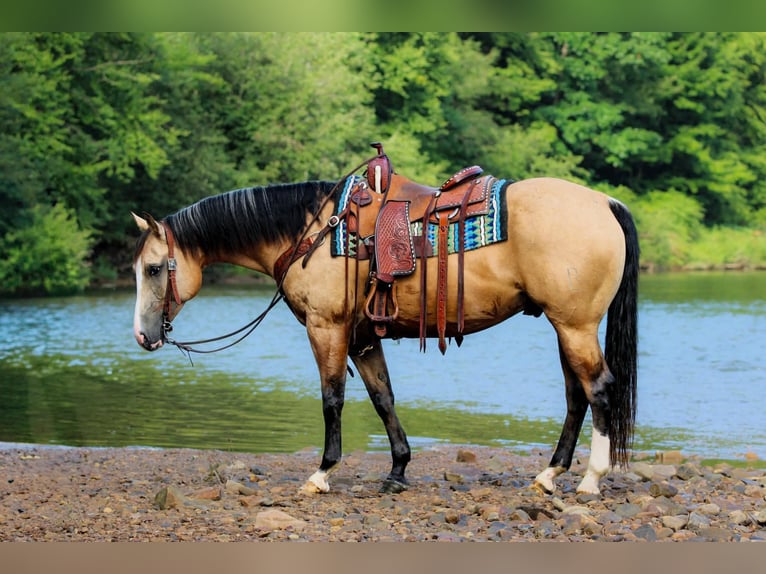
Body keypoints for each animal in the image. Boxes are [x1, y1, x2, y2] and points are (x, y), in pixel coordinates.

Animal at [131, 171, 638, 497]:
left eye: (154, 269)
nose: (141, 336)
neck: (311, 234)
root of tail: (603, 202)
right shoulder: (363, 338)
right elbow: (383, 398)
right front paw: (397, 470)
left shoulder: (327, 328)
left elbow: (332, 399)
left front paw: (322, 473)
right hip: (564, 326)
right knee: (576, 396)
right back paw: (550, 474)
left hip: (574, 326)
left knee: (599, 389)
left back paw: (591, 480)